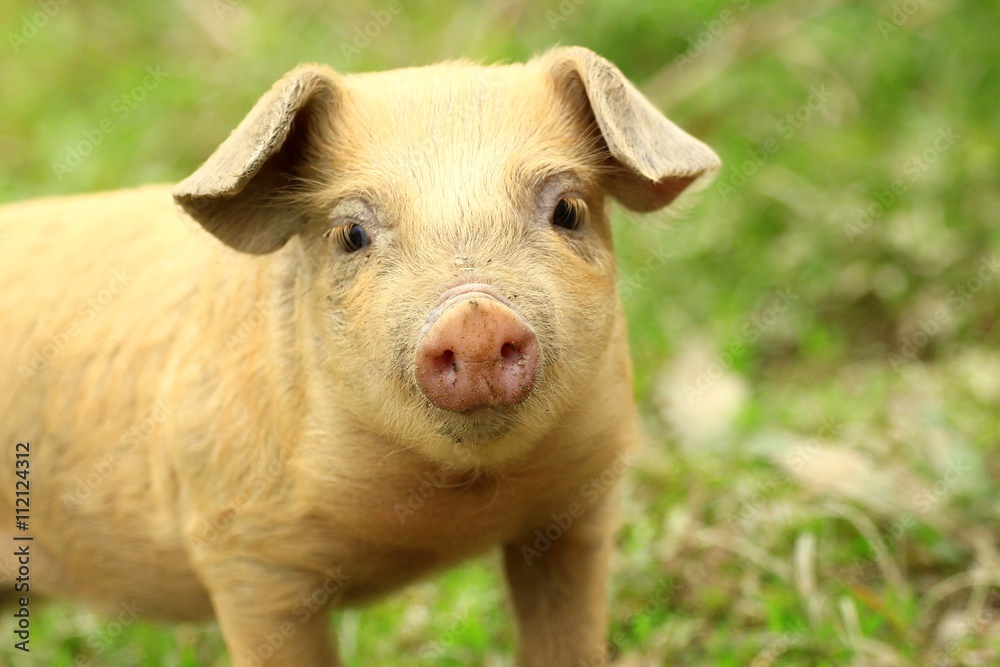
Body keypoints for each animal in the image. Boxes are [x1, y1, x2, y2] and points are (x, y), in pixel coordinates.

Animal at [0, 46, 719, 666]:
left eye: (567, 208)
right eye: (350, 233)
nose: (475, 315)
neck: (450, 507)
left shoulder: (580, 503)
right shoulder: (243, 552)